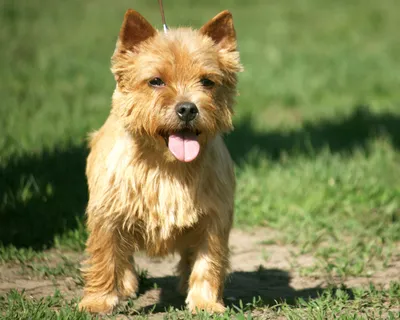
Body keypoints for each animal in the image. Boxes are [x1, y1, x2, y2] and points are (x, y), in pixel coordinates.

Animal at [78, 8, 241, 314]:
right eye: (156, 81)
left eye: (207, 81)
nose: (187, 108)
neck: (167, 165)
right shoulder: (107, 215)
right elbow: (105, 256)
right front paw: (98, 301)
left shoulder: (214, 219)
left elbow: (208, 261)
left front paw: (205, 302)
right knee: (123, 256)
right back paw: (126, 284)